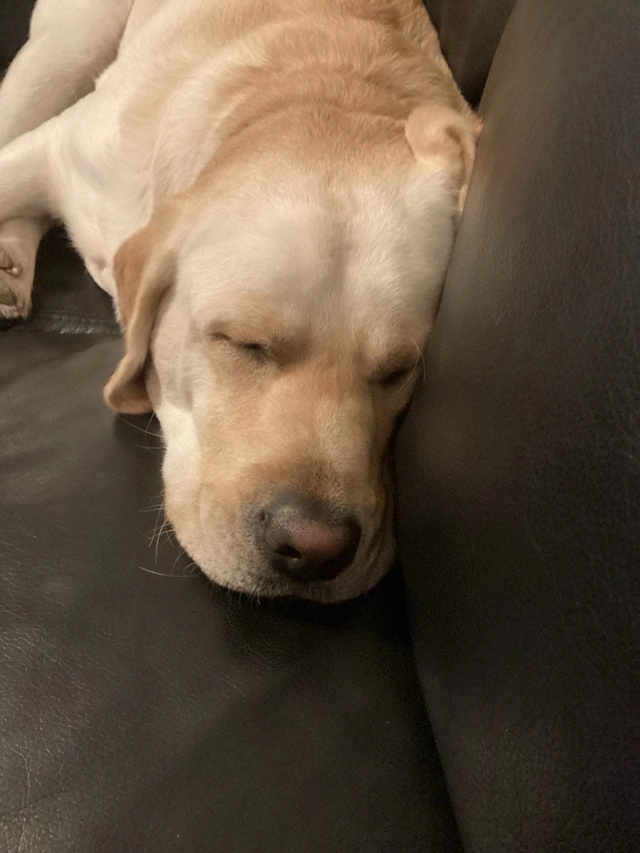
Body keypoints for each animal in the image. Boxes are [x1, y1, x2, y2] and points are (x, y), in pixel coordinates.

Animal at [0, 0, 480, 602]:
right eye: (242, 343)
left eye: (399, 371)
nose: (313, 549)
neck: (324, 100)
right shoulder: (57, 149)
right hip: (67, 48)